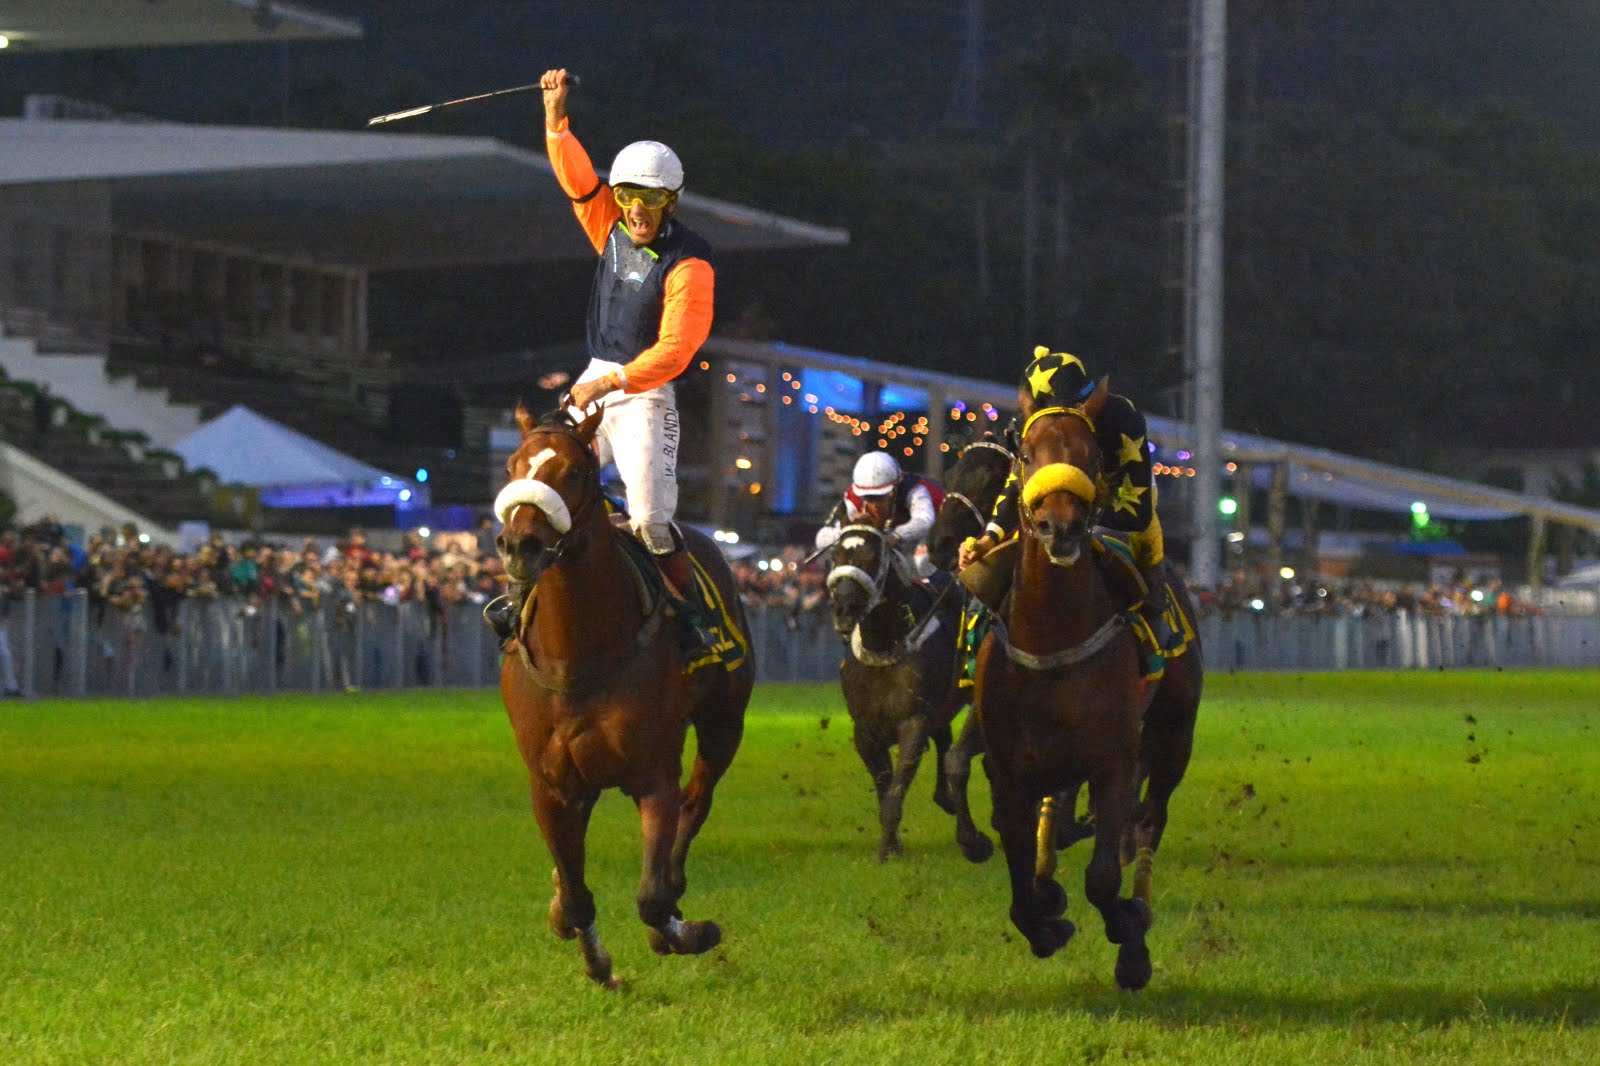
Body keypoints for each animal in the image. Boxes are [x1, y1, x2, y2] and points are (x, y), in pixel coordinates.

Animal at [496, 403, 752, 985]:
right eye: (512, 466)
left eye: (573, 472)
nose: (520, 546)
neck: (579, 651)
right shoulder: (551, 784)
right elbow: (575, 896)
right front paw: (595, 958)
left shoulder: (653, 775)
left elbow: (652, 898)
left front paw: (687, 931)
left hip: (725, 722)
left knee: (697, 799)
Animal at [960, 384, 1203, 985]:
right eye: (1025, 456)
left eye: (1092, 457)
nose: (1061, 527)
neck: (1051, 637)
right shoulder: (1007, 767)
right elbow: (1018, 877)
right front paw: (1046, 920)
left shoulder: (1114, 758)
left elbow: (1103, 877)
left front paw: (1130, 939)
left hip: (1174, 734)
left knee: (1150, 819)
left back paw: (1138, 905)